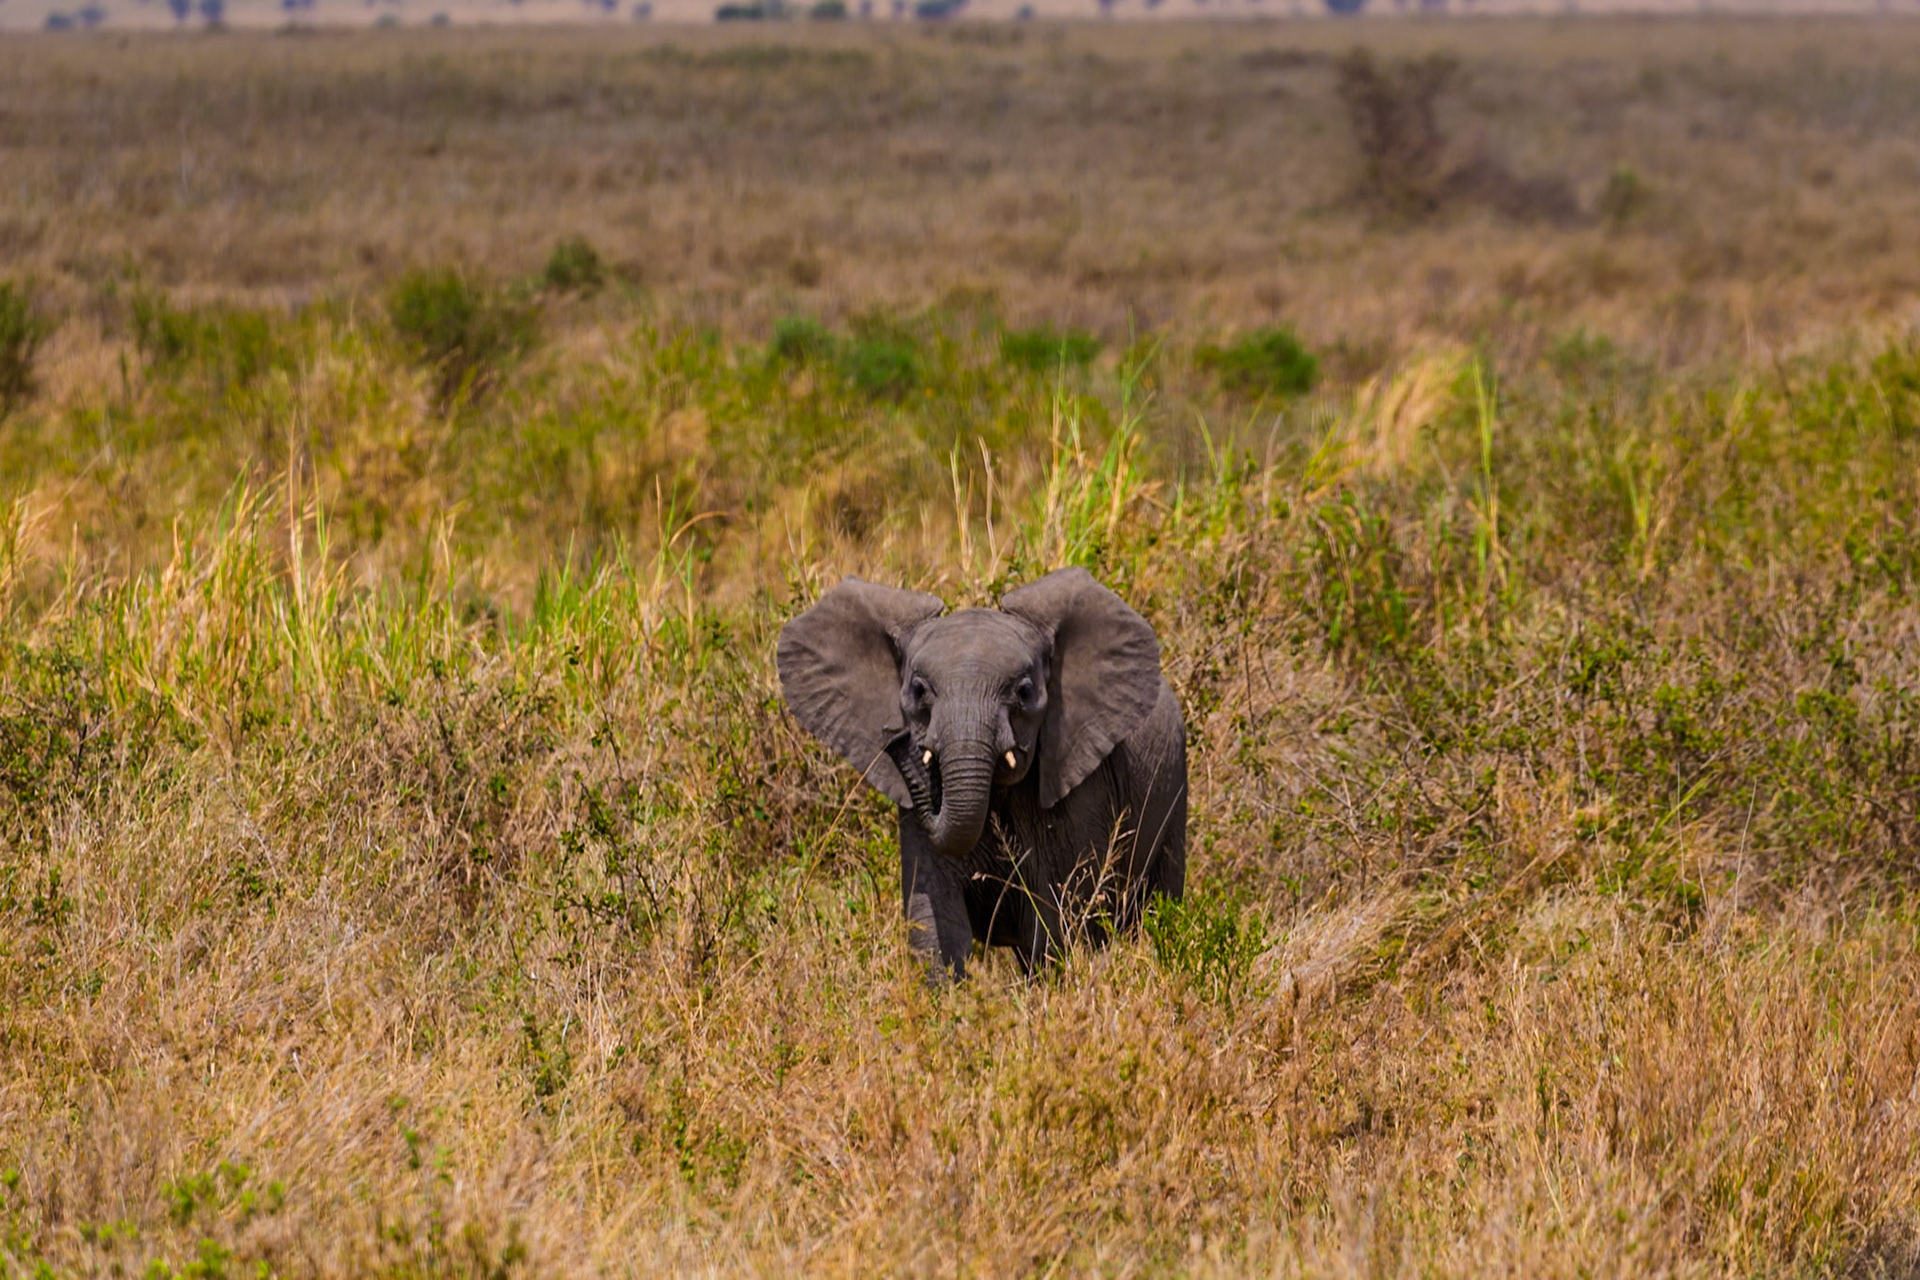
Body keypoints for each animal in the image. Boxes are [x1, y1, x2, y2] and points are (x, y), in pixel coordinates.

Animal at [777, 567, 1186, 979]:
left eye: (1024, 692)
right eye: (918, 691)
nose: (895, 738)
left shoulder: (1085, 787)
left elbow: (1058, 908)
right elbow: (935, 918)